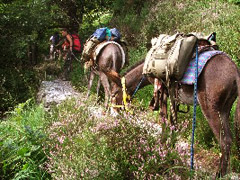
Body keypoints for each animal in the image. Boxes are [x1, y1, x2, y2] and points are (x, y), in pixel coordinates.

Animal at [106, 52, 240, 176]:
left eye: (114, 94)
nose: (113, 114)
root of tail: (235, 71)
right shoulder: (174, 97)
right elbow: (173, 125)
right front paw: (171, 155)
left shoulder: (163, 93)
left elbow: (164, 123)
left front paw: (162, 154)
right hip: (224, 111)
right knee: (229, 139)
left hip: (211, 110)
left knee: (225, 141)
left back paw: (219, 174)